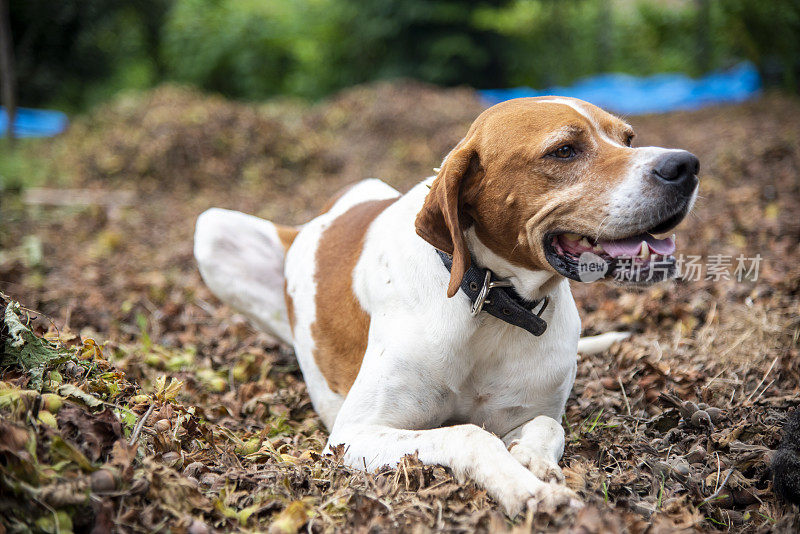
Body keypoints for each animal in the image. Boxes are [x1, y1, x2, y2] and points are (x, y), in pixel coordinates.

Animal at [194, 96, 700, 516]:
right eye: (563, 151)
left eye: (628, 138)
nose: (686, 164)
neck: (492, 301)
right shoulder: (355, 435)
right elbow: (469, 434)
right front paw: (526, 490)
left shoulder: (531, 411)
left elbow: (545, 428)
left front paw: (533, 464)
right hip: (211, 229)